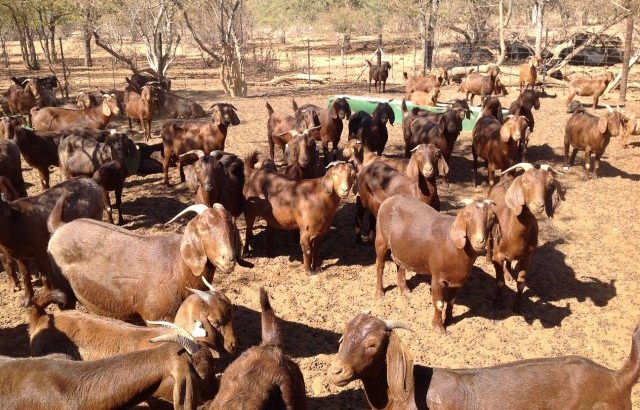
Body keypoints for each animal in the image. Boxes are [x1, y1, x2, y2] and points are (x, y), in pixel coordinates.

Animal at [48, 204, 242, 321]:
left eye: (231, 226)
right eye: (202, 228)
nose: (228, 259)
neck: (177, 265)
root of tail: (59, 227)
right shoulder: (159, 317)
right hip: (63, 288)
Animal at [374, 196, 498, 332]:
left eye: (491, 217)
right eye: (467, 215)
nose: (479, 241)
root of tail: (389, 199)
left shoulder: (457, 280)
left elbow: (451, 302)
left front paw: (450, 320)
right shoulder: (438, 276)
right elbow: (439, 303)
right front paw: (438, 328)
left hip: (400, 248)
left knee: (399, 264)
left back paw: (405, 290)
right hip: (381, 238)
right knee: (380, 266)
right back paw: (379, 293)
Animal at [488, 162, 562, 312]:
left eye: (550, 184)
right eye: (525, 181)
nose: (538, 205)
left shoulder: (528, 256)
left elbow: (521, 283)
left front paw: (518, 306)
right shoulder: (498, 255)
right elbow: (499, 282)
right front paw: (498, 303)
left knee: (509, 262)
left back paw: (509, 274)